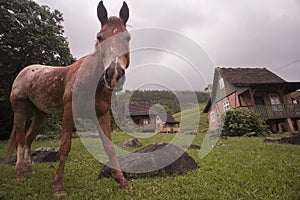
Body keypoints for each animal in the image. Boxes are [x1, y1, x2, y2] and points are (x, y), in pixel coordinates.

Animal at [7, 0, 131, 196]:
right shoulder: (68, 113)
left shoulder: (101, 114)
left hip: (40, 114)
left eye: (127, 38)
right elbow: (64, 147)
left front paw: (122, 181)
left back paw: (29, 169)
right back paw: (20, 173)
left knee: (28, 138)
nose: (114, 75)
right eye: (100, 37)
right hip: (20, 109)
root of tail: (25, 71)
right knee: (20, 138)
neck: (90, 81)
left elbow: (109, 147)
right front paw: (58, 186)